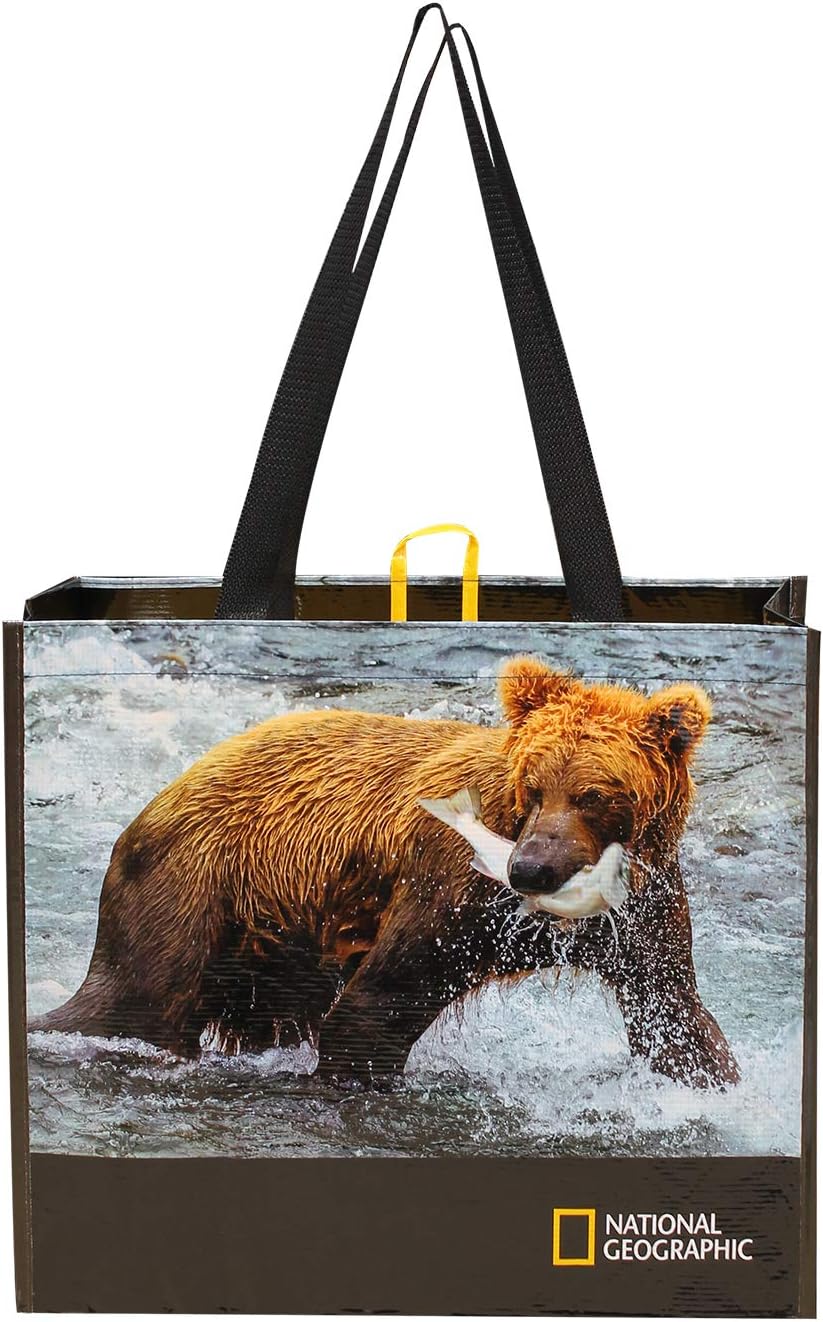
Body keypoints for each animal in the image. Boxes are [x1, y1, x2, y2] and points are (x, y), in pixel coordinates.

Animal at [31, 656, 739, 1089]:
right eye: (534, 786)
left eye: (592, 795)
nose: (532, 868)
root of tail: (149, 808)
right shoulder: (453, 887)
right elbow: (380, 999)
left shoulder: (641, 909)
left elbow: (672, 1012)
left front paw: (714, 1082)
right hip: (198, 888)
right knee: (136, 1003)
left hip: (281, 941)